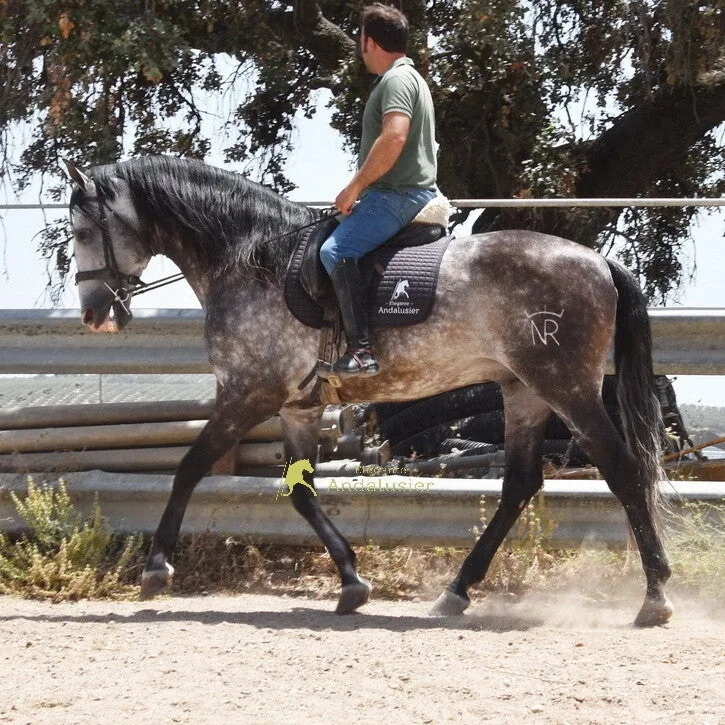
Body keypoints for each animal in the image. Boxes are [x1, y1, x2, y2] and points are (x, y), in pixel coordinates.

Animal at [63, 155, 672, 626]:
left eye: (83, 232)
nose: (93, 314)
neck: (251, 260)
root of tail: (597, 260)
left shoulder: (248, 394)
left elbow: (189, 467)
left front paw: (156, 568)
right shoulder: (297, 408)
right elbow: (302, 493)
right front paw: (352, 582)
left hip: (566, 387)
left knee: (622, 469)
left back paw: (655, 596)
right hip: (523, 391)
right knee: (520, 484)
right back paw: (456, 593)